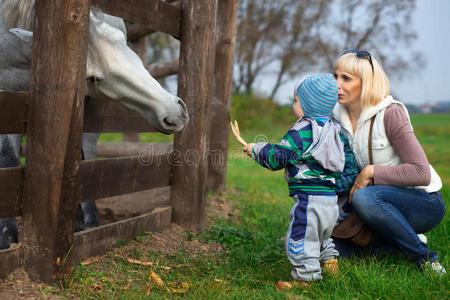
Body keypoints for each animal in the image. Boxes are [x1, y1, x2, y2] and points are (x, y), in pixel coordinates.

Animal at [0, 0, 187, 248]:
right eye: (93, 78)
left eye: (121, 39)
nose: (175, 113)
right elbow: (9, 160)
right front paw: (6, 236)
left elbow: (82, 156)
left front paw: (79, 223)